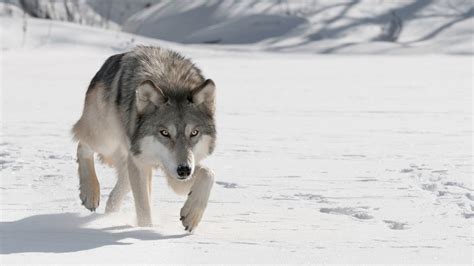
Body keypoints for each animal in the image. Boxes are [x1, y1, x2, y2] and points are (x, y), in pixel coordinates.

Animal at [71, 46, 216, 233]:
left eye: (194, 133)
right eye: (164, 132)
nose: (184, 170)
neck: (173, 84)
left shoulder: (174, 173)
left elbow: (208, 173)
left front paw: (191, 216)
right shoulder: (142, 163)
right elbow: (143, 208)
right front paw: (145, 231)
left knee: (119, 187)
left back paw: (110, 214)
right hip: (106, 139)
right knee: (82, 145)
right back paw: (90, 194)